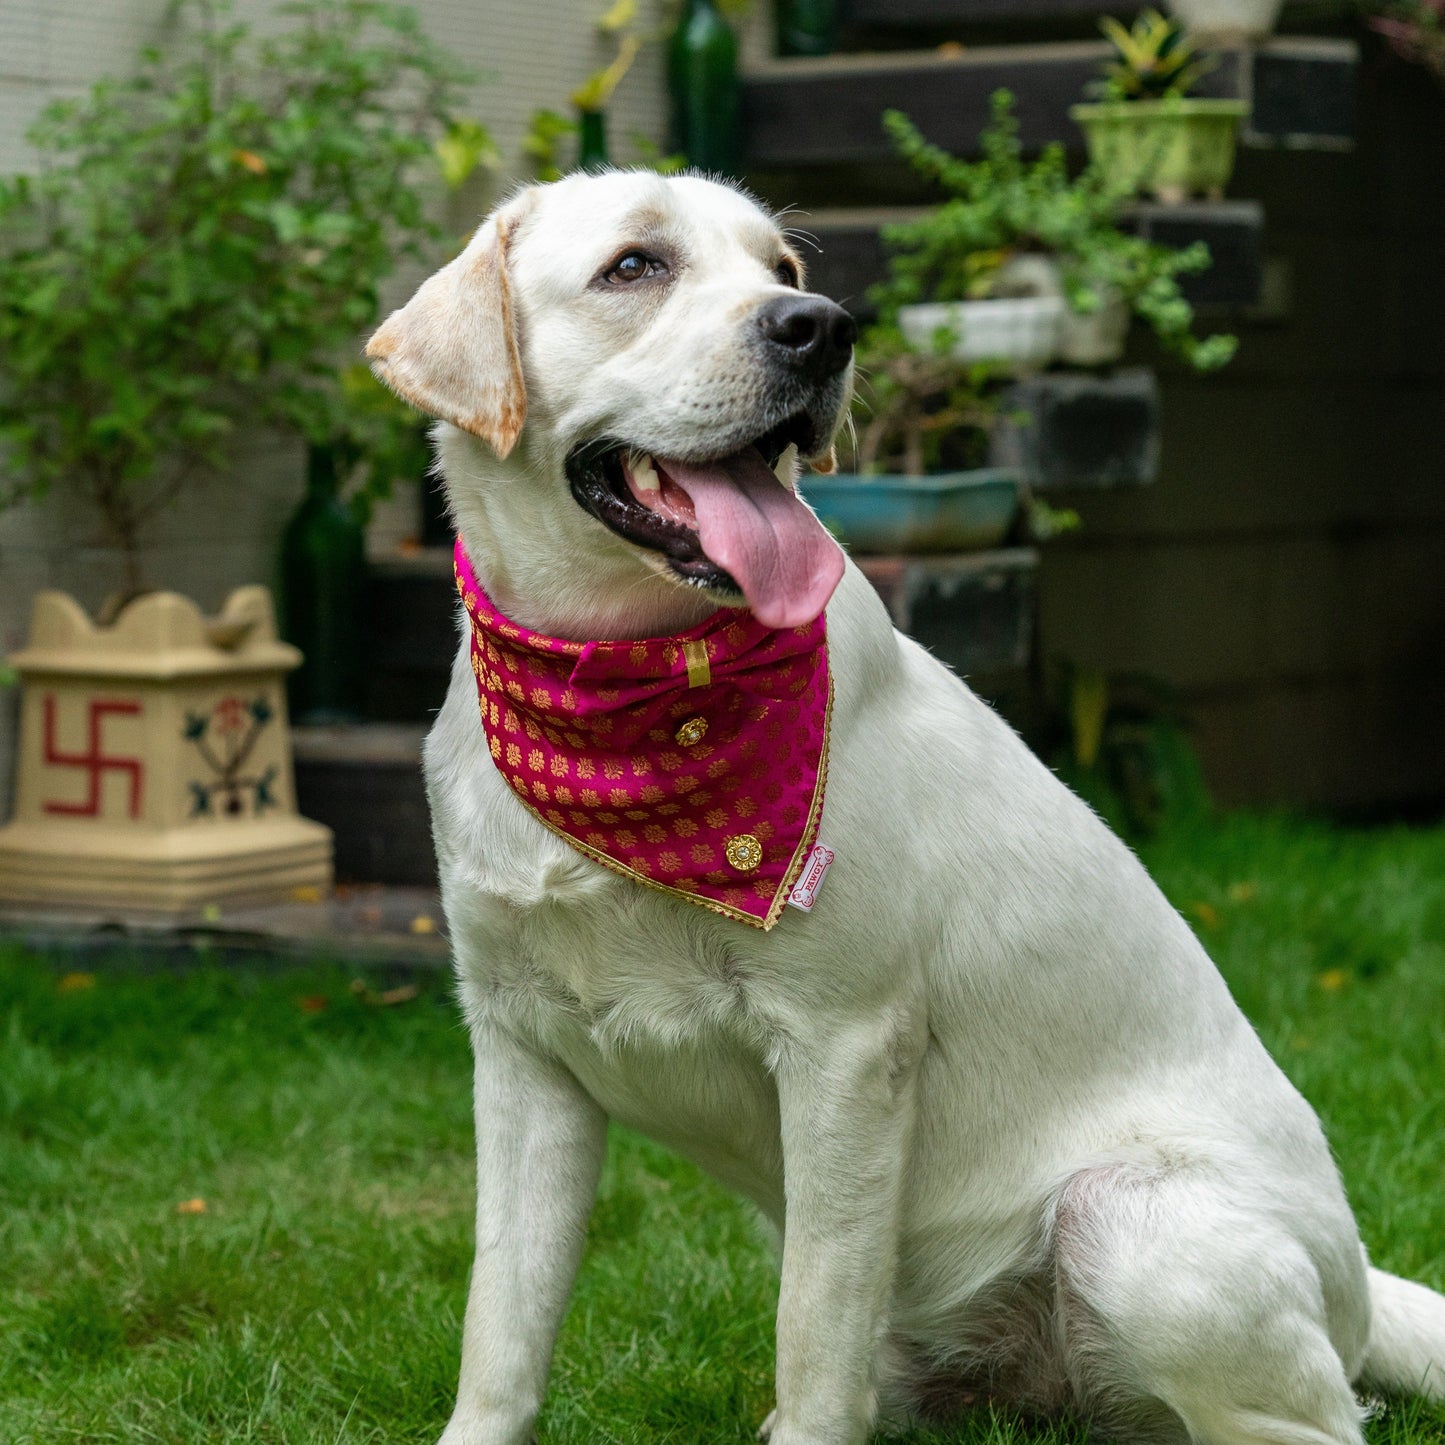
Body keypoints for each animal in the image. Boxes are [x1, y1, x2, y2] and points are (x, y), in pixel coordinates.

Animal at [367, 174, 1439, 1445]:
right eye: (634, 267)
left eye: (781, 267)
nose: (819, 327)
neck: (616, 699)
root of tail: (1357, 1287)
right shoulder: (521, 1053)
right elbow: (503, 1319)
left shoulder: (844, 1046)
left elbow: (810, 1330)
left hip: (1134, 1226)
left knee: (1311, 1418)